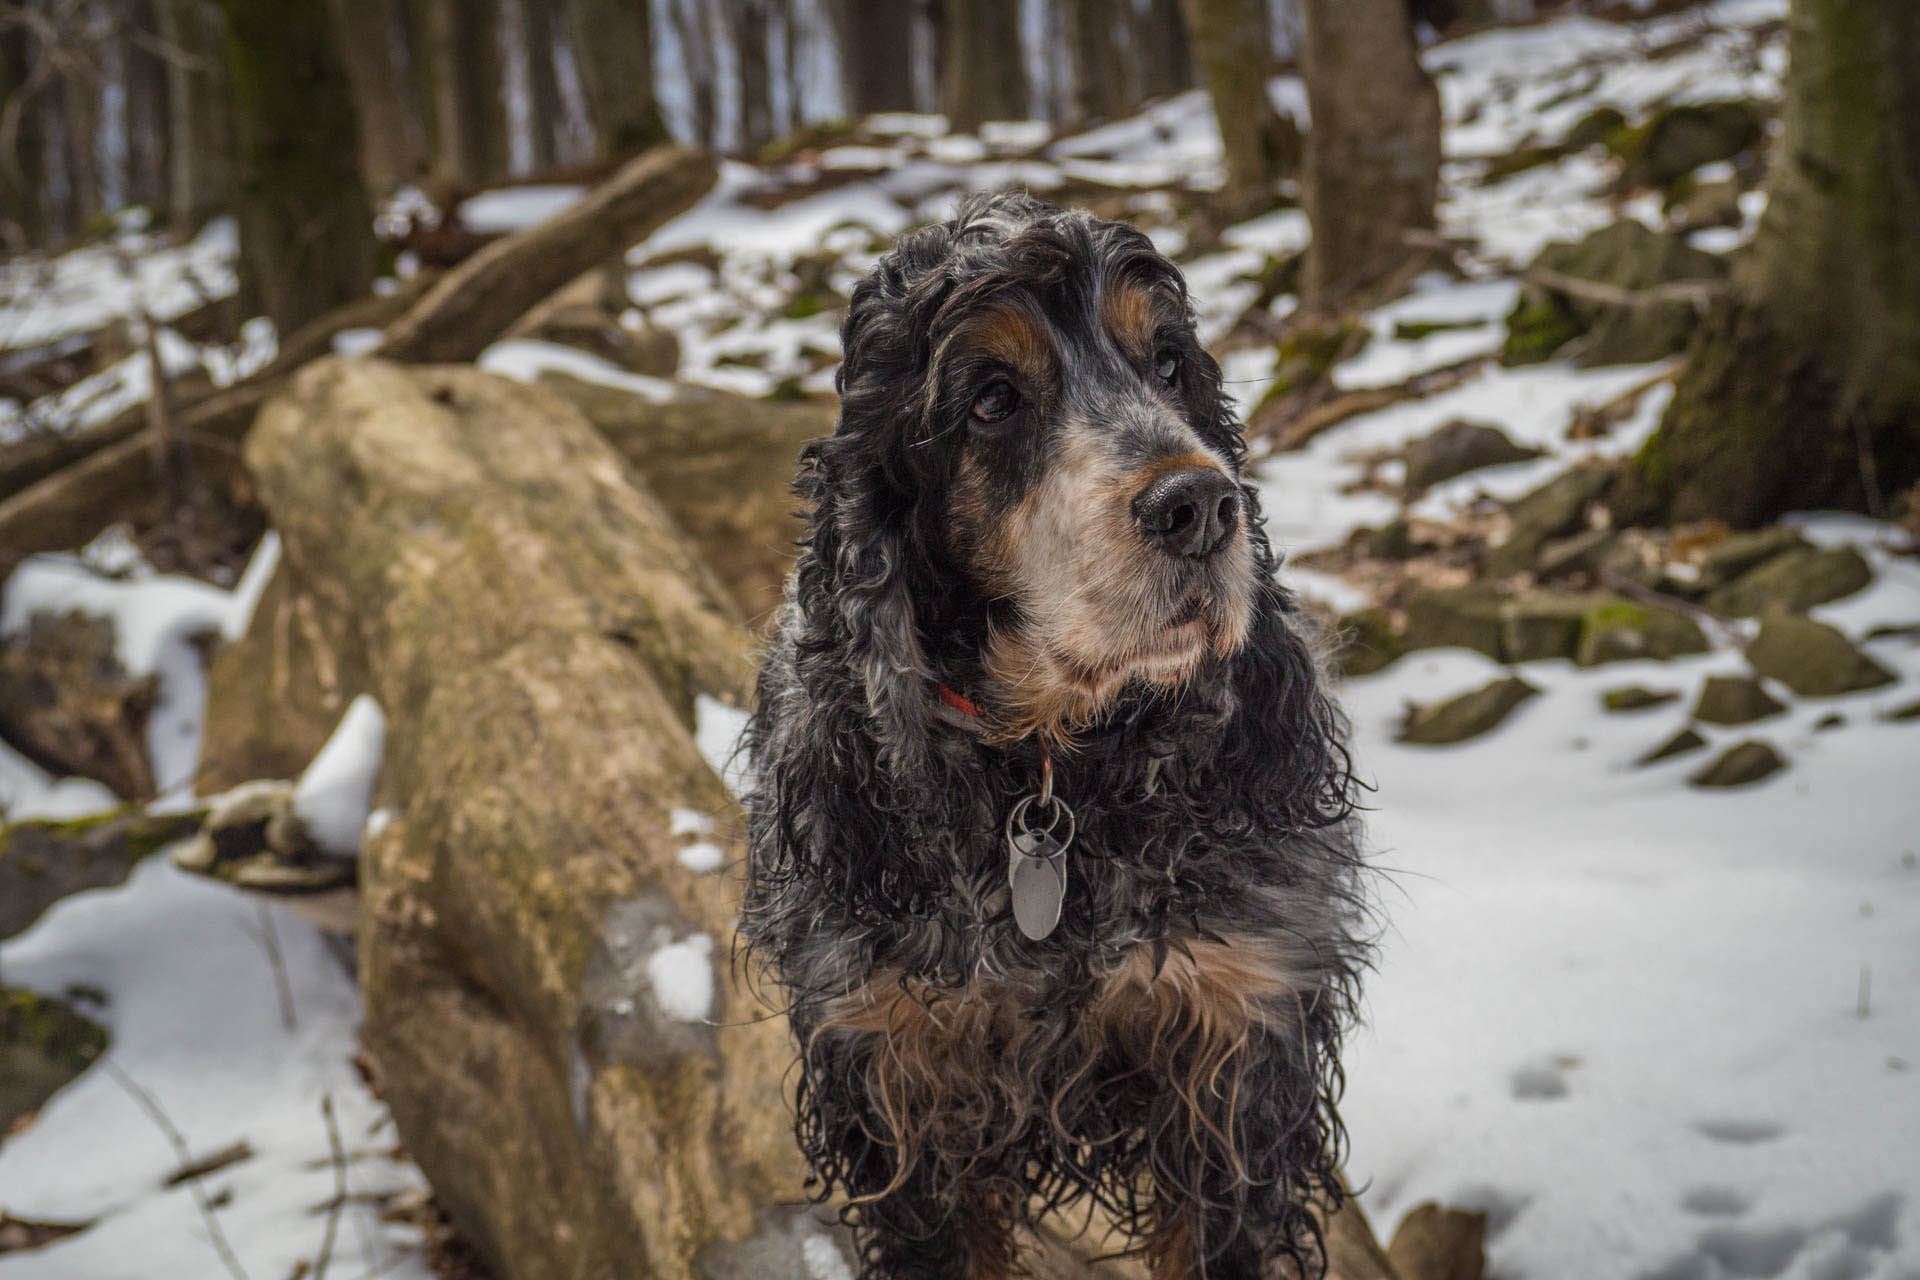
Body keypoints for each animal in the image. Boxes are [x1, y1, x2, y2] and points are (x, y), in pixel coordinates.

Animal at [741, 192, 1374, 1280]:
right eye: (993, 399)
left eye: (1168, 365)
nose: (1202, 506)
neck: (1052, 772)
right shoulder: (899, 1077)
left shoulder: (1235, 1055)